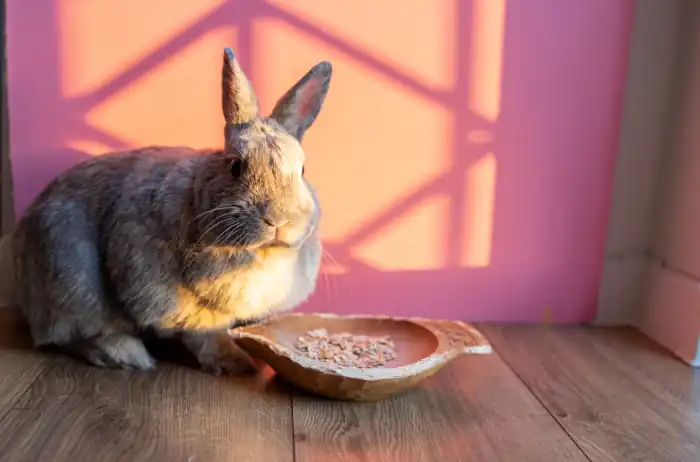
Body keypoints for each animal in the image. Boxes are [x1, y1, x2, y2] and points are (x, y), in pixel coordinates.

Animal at [11, 48, 331, 375]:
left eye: (302, 170)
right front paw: (235, 362)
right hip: (71, 281)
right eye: (235, 166)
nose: (278, 220)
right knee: (67, 336)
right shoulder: (184, 307)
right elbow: (207, 336)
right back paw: (124, 354)